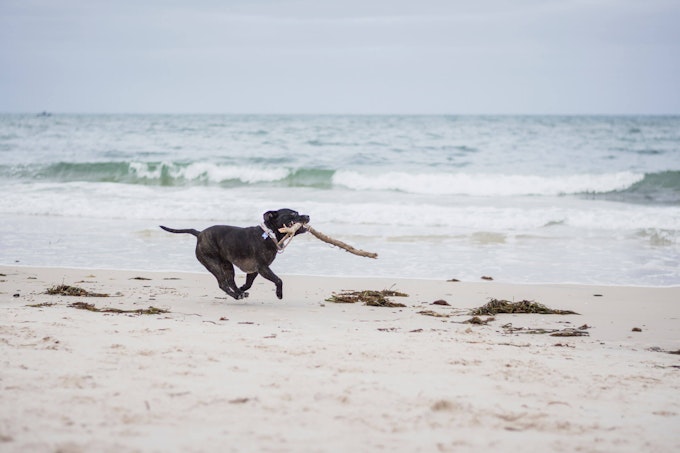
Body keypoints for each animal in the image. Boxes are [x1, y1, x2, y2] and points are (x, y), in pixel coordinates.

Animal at [158, 208, 310, 300]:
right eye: (293, 214)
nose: (308, 215)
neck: (269, 233)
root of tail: (199, 234)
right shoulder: (263, 268)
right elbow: (278, 279)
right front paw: (279, 294)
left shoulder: (255, 270)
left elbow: (249, 283)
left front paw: (243, 287)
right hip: (213, 264)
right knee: (223, 284)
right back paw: (236, 295)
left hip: (227, 265)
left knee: (230, 281)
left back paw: (239, 292)